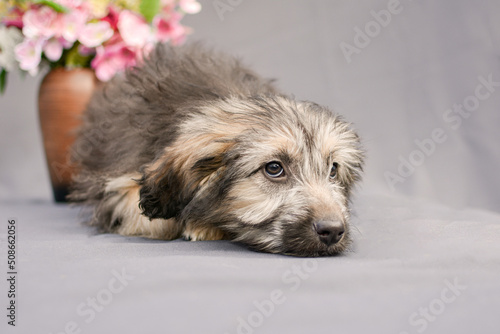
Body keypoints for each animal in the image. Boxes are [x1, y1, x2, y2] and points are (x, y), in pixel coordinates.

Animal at [69, 43, 364, 258]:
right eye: (274, 168)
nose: (332, 231)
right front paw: (201, 223)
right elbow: (163, 222)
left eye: (333, 170)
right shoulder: (118, 192)